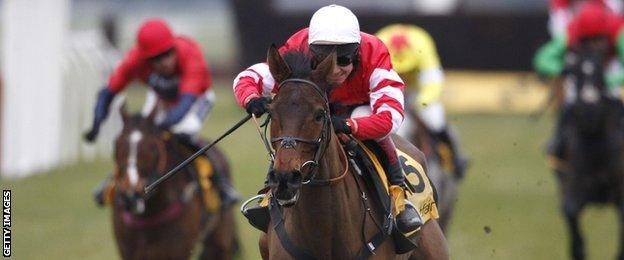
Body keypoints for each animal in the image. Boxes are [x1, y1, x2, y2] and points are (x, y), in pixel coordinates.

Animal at [112, 104, 239, 258]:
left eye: (152, 147)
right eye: (116, 145)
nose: (130, 196)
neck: (149, 214)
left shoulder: (177, 251)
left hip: (220, 239)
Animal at [552, 39, 624, 260]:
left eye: (600, 72)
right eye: (573, 72)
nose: (588, 110)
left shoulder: (619, 190)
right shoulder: (572, 183)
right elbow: (570, 211)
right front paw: (579, 250)